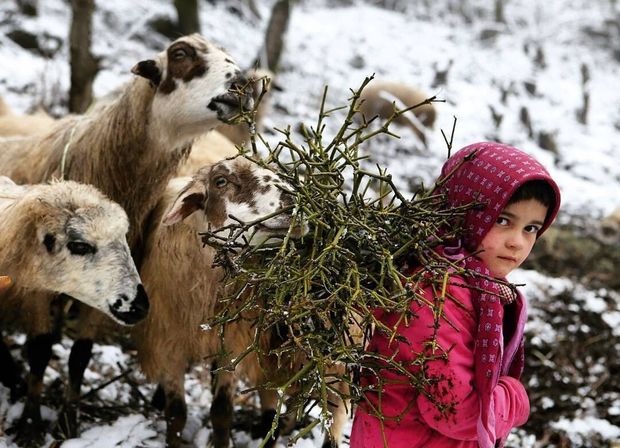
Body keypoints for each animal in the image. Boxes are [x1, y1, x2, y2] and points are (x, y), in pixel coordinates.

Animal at [0, 33, 253, 442]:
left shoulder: (112, 283)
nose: (244, 86)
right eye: (180, 54)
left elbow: (80, 355)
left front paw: (69, 421)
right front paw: (31, 424)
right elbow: (40, 352)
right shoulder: (35, 288)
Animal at [133, 156, 306, 446]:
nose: (293, 202)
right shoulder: (168, 342)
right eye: (221, 181)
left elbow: (222, 411)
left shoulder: (232, 345)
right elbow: (176, 413)